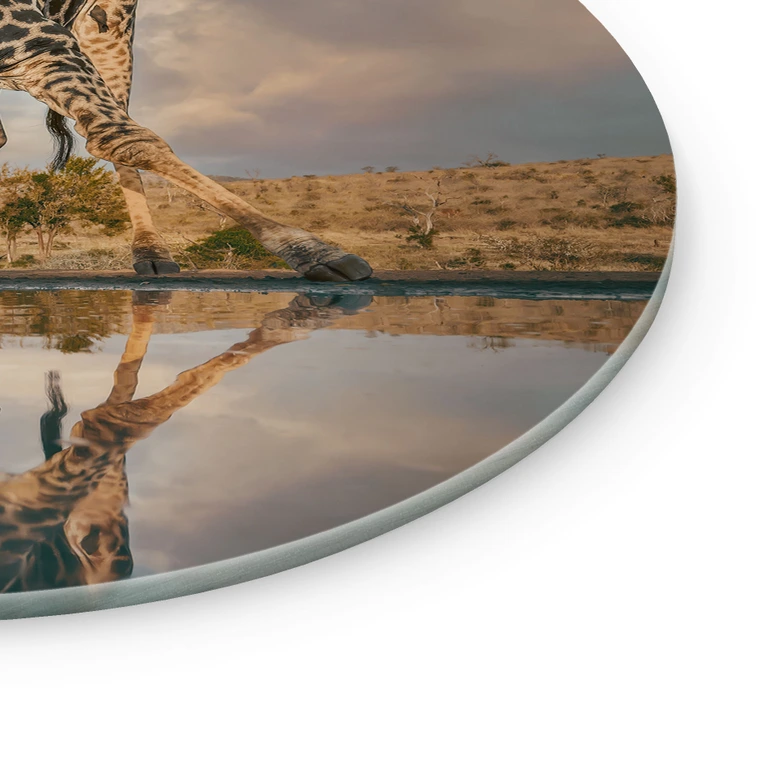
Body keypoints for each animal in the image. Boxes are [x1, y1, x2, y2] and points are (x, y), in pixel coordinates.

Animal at [0, 0, 374, 281]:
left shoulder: (42, 40)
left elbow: (123, 136)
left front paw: (313, 252)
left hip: (109, 26)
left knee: (119, 120)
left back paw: (154, 253)